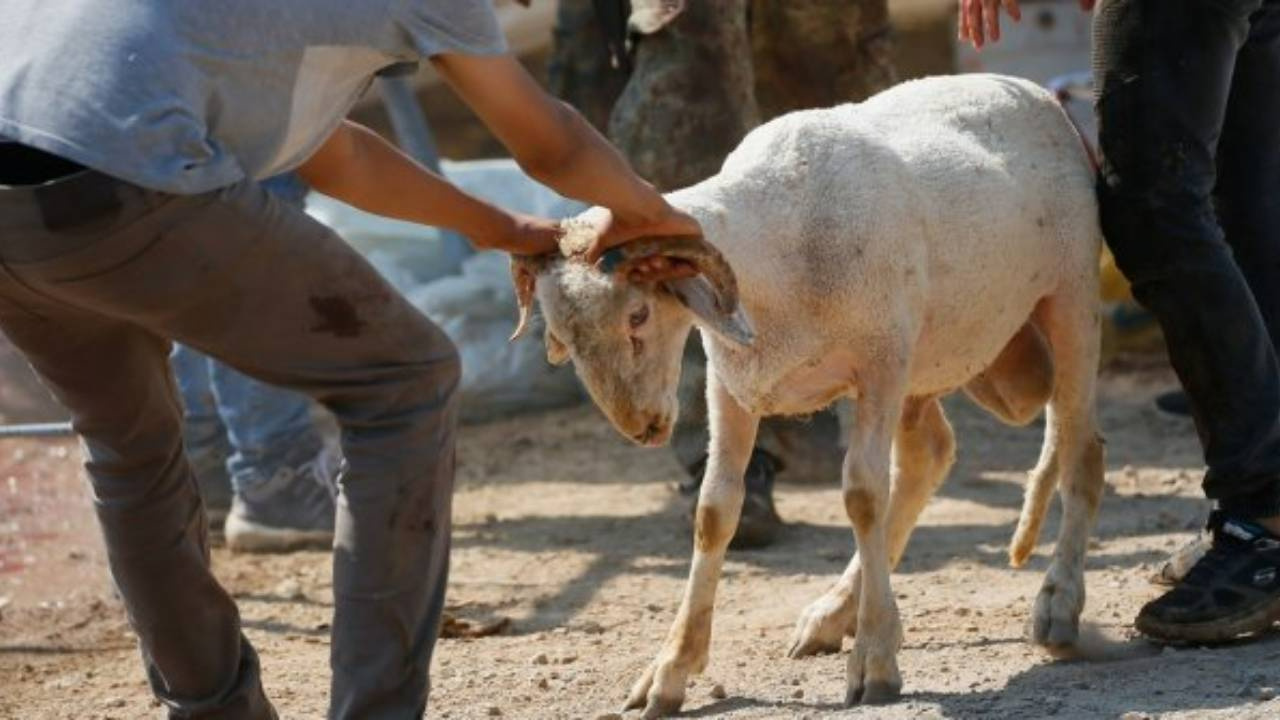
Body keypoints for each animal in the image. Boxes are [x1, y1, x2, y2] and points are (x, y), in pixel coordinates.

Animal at [509, 73, 1100, 712]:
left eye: (638, 314)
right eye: (562, 335)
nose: (641, 426)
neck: (780, 237)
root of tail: (1027, 87)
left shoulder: (880, 366)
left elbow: (863, 495)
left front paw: (875, 660)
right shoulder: (733, 379)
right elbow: (714, 510)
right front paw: (669, 670)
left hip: (1068, 299)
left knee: (1080, 451)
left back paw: (1058, 603)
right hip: (930, 357)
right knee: (930, 455)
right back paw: (834, 613)